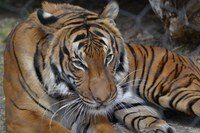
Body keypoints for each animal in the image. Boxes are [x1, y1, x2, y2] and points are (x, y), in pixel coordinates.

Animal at [3, 0, 200, 133]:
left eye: (109, 57)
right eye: (78, 63)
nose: (104, 101)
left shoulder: (87, 114)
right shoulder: (23, 115)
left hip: (173, 90)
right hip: (133, 108)